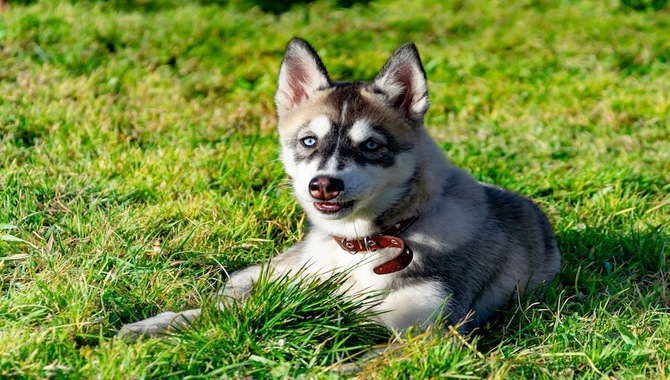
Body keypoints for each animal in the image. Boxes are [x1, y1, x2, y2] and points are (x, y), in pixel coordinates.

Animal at [119, 36, 560, 338]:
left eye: (371, 146)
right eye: (308, 141)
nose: (323, 186)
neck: (363, 246)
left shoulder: (425, 332)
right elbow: (224, 309)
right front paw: (157, 325)